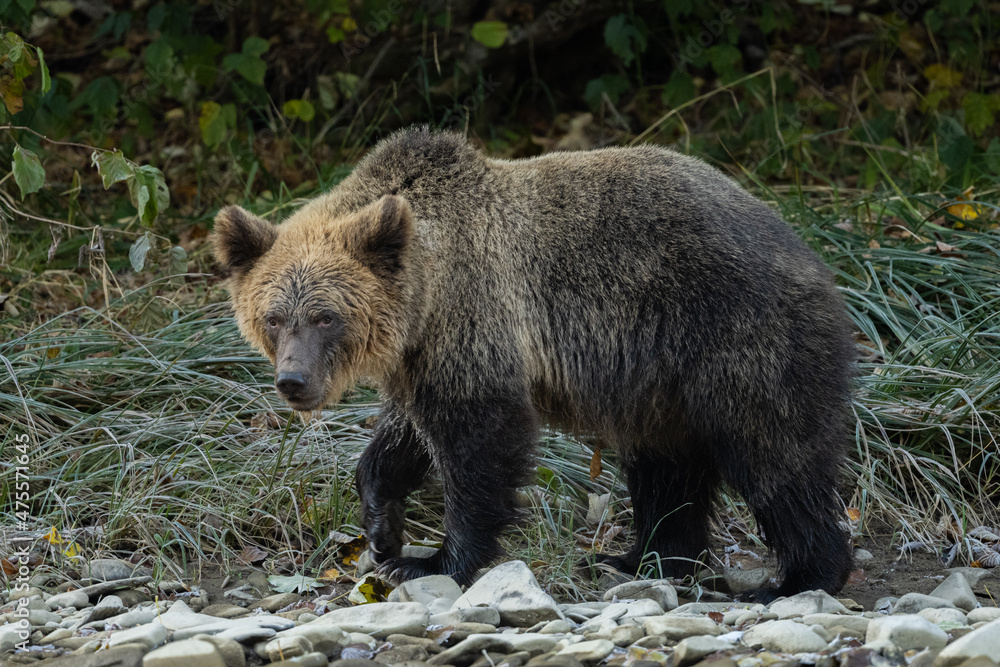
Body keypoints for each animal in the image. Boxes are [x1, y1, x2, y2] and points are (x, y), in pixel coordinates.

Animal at [212, 126, 855, 601]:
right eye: (273, 317)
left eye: (326, 317)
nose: (293, 381)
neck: (426, 286)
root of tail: (811, 253)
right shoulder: (422, 352)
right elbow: (404, 437)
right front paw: (381, 528)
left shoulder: (475, 317)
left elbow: (479, 440)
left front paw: (435, 560)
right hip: (660, 385)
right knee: (667, 468)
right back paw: (638, 559)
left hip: (736, 337)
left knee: (775, 455)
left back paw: (800, 577)